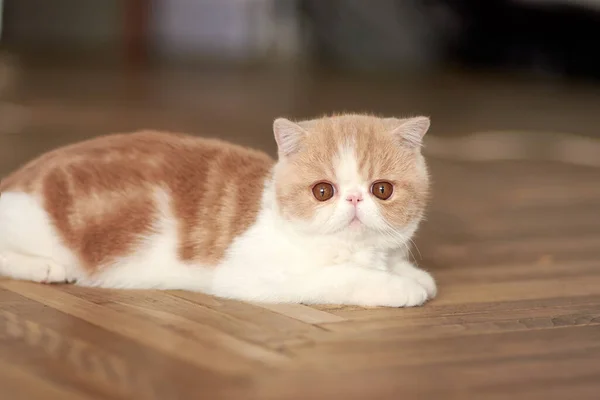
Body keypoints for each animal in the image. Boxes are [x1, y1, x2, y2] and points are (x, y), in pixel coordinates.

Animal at [0, 114, 436, 308]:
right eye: (323, 191)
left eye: (381, 189)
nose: (355, 200)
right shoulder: (249, 273)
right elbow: (339, 277)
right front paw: (397, 286)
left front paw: (409, 273)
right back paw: (44, 267)